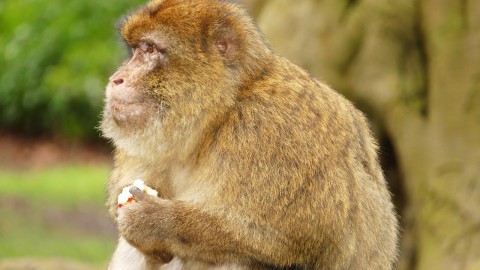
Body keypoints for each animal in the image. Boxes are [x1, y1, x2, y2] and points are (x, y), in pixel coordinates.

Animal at [100, 0, 398, 268]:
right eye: (136, 50)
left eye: (150, 49)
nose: (116, 78)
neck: (220, 116)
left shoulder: (270, 129)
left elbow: (288, 242)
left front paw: (154, 221)